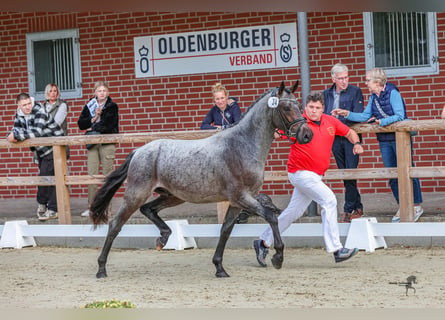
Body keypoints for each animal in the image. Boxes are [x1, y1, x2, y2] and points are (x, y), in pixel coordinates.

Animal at [90, 81, 312, 278]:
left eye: (300, 106)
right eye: (286, 107)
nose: (307, 135)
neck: (241, 146)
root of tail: (138, 151)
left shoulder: (236, 202)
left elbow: (226, 230)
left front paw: (219, 268)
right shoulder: (242, 197)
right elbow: (271, 217)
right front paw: (278, 257)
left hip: (173, 196)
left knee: (148, 210)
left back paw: (163, 238)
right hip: (136, 194)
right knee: (116, 224)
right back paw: (101, 269)